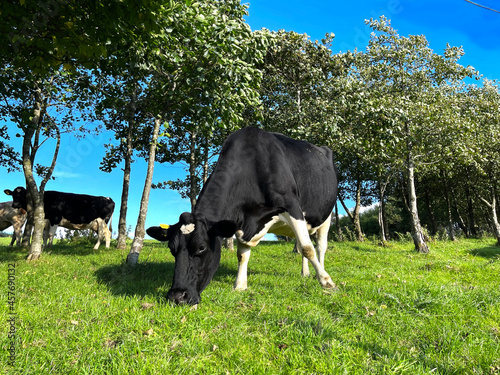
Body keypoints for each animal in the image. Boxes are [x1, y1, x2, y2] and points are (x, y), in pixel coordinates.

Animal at [146, 126, 338, 306]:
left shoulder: (291, 205)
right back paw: (305, 273)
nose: (177, 297)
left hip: (326, 214)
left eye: (201, 247)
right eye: (171, 248)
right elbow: (242, 254)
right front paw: (240, 285)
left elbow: (307, 248)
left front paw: (326, 281)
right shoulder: (242, 221)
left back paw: (321, 272)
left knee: (319, 247)